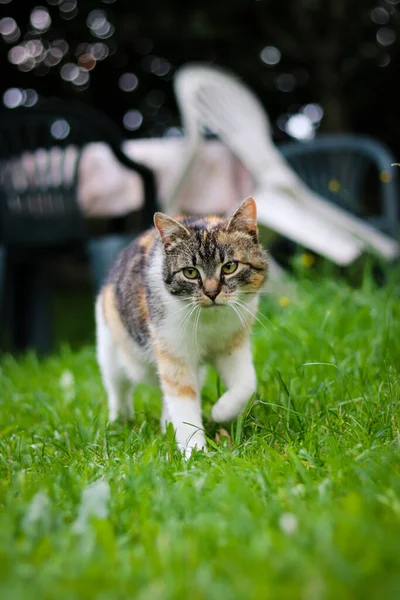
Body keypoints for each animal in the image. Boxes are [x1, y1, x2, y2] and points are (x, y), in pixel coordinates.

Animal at [95, 196, 268, 454]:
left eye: (229, 267)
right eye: (190, 272)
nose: (212, 293)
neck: (209, 322)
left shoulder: (233, 346)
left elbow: (246, 383)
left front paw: (221, 412)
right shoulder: (174, 352)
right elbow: (183, 400)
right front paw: (194, 452)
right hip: (111, 347)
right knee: (117, 386)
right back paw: (118, 421)